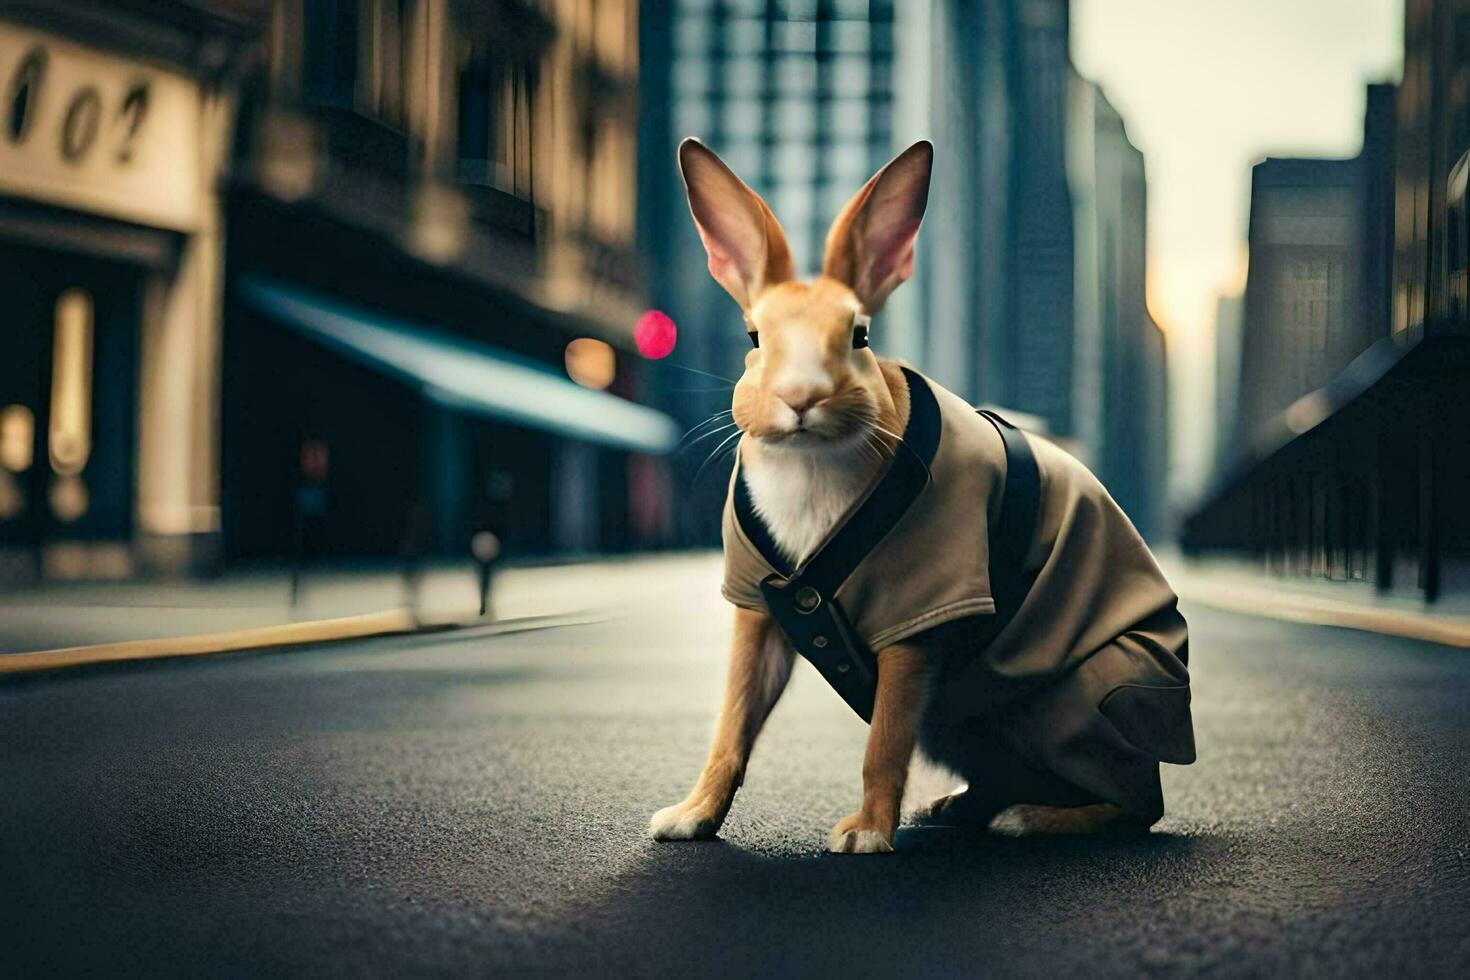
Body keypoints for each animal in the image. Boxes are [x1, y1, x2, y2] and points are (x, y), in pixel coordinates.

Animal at [652, 139, 1193, 858]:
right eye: (753, 338)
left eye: (859, 335)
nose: (801, 398)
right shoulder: (757, 608)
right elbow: (733, 724)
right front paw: (689, 818)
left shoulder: (918, 618)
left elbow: (884, 740)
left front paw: (864, 835)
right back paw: (956, 806)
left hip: (1091, 691)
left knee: (1136, 805)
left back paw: (1026, 819)